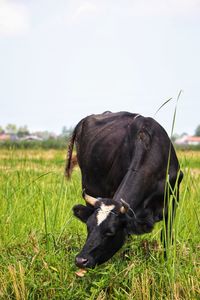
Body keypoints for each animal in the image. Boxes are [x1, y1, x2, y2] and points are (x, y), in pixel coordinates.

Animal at [65, 111, 183, 268]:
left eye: (110, 232)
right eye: (88, 227)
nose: (80, 260)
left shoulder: (173, 201)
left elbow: (166, 236)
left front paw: (167, 262)